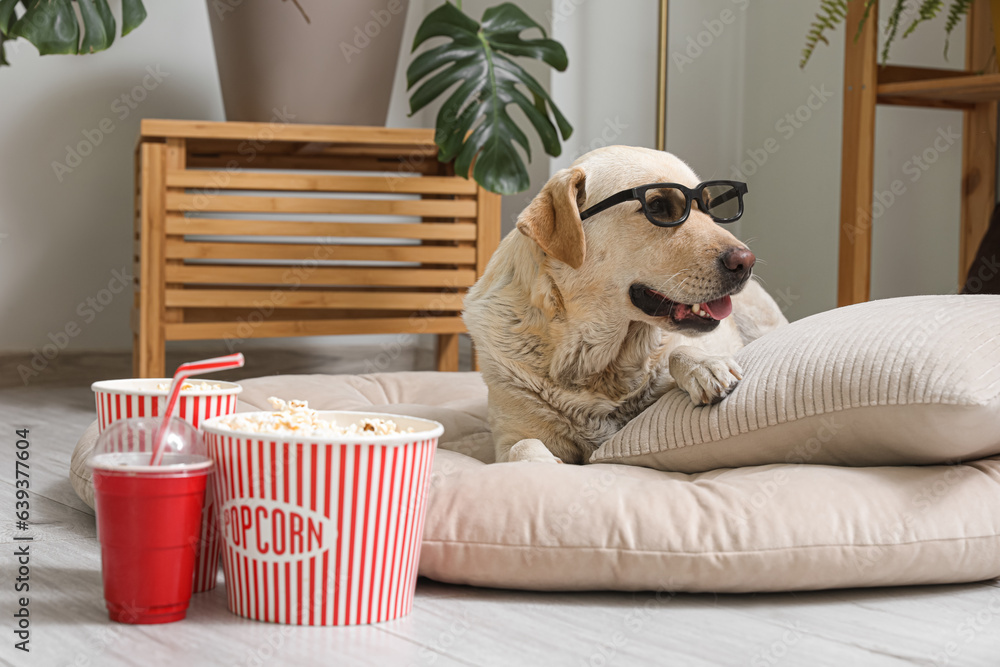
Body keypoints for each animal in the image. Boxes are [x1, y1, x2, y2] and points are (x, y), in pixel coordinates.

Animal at [462, 145, 788, 464]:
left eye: (709, 207)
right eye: (656, 206)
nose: (746, 262)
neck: (595, 365)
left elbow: (678, 350)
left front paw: (706, 367)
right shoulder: (509, 437)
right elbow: (524, 447)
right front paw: (541, 465)